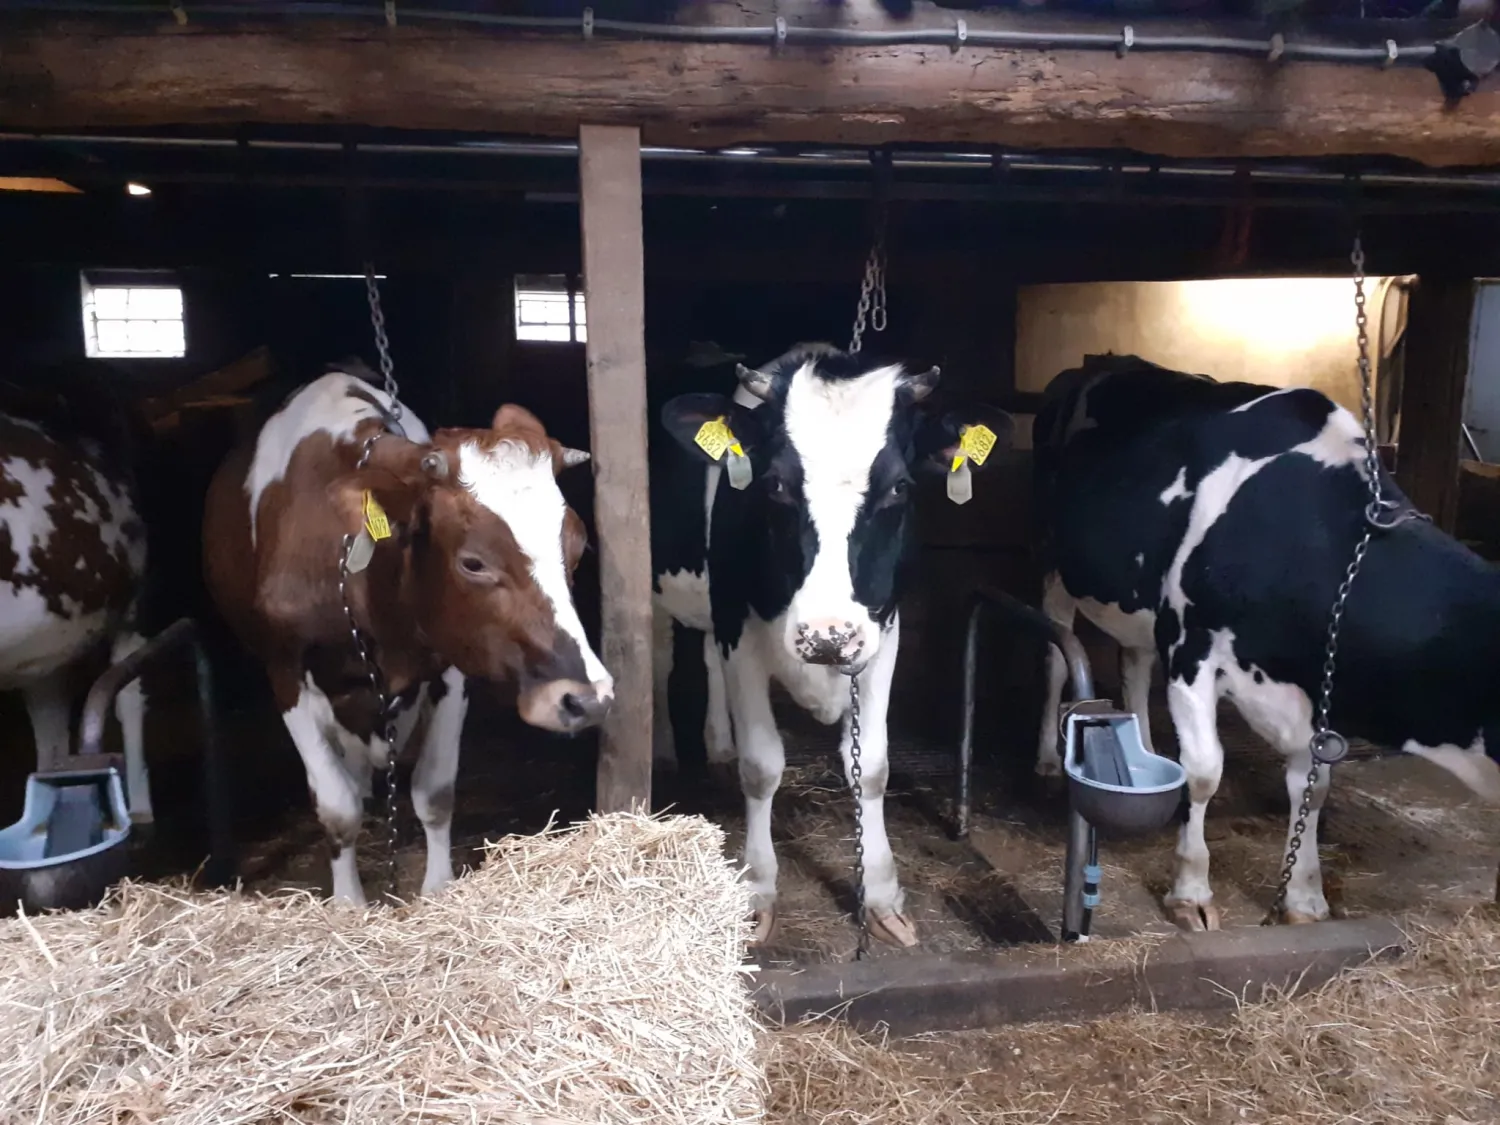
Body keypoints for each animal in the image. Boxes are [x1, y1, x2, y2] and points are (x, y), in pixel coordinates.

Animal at [202, 366, 612, 905]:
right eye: (473, 562)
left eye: (578, 546)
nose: (586, 698)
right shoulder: (285, 670)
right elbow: (337, 806)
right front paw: (348, 904)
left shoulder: (452, 666)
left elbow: (434, 792)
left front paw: (438, 888)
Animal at [652, 343, 1013, 947]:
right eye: (775, 484)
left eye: (899, 487)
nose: (827, 636)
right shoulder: (739, 630)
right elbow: (762, 765)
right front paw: (758, 892)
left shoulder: (880, 633)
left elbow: (872, 767)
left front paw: (883, 895)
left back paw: (718, 745)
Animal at [1032, 353, 1500, 931]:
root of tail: (1099, 362)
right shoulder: (1191, 651)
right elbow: (1204, 772)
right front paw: (1191, 892)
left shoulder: (1318, 689)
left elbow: (1312, 789)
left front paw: (1304, 897)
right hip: (1053, 562)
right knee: (1057, 658)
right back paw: (1047, 762)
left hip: (1137, 606)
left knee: (1134, 663)